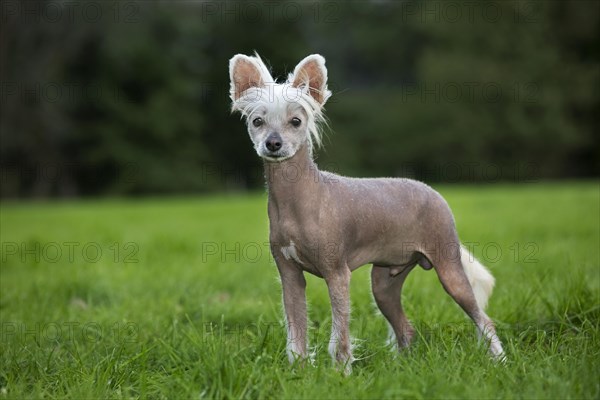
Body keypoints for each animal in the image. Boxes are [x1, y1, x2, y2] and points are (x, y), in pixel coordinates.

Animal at [227, 52, 504, 372]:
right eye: (257, 121)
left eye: (296, 121)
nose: (273, 143)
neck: (297, 201)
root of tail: (431, 190)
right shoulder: (290, 276)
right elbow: (296, 331)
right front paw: (299, 371)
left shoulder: (337, 274)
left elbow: (340, 333)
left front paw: (341, 372)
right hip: (384, 283)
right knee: (405, 329)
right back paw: (402, 368)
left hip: (449, 268)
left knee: (483, 320)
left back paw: (500, 360)